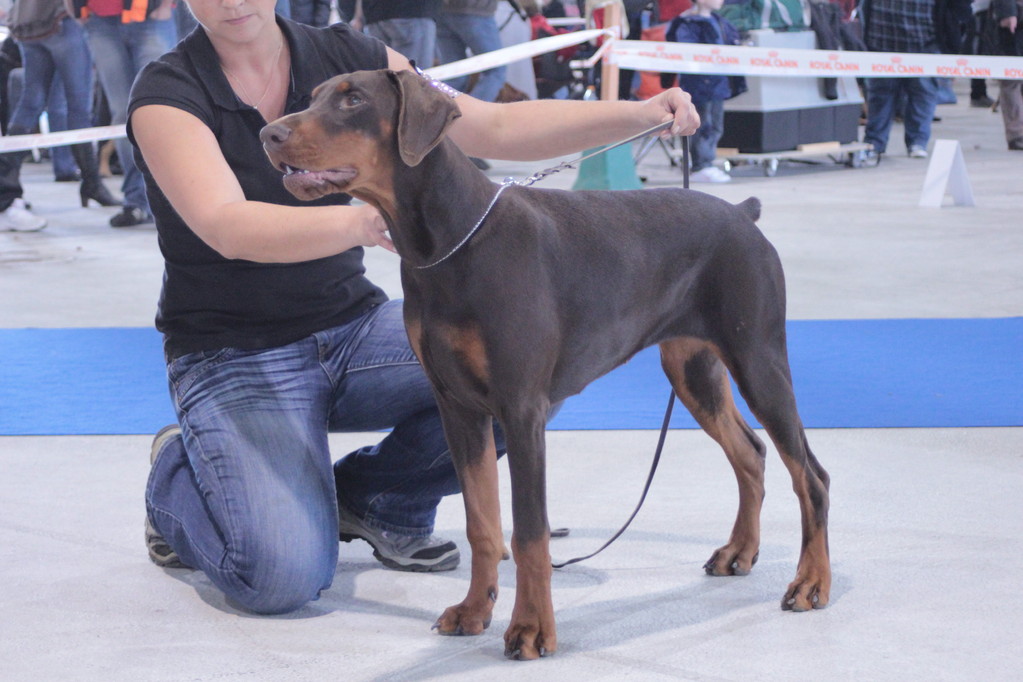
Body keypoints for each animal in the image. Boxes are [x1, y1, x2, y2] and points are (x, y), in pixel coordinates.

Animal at [261, 69, 830, 662]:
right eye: (312, 97)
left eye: (353, 99)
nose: (268, 134)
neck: (451, 242)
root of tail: (742, 214)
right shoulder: (457, 406)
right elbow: (483, 523)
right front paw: (474, 611)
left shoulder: (522, 408)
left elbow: (529, 531)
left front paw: (532, 628)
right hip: (693, 368)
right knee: (752, 453)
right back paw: (739, 551)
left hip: (758, 357)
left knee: (810, 474)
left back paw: (811, 581)